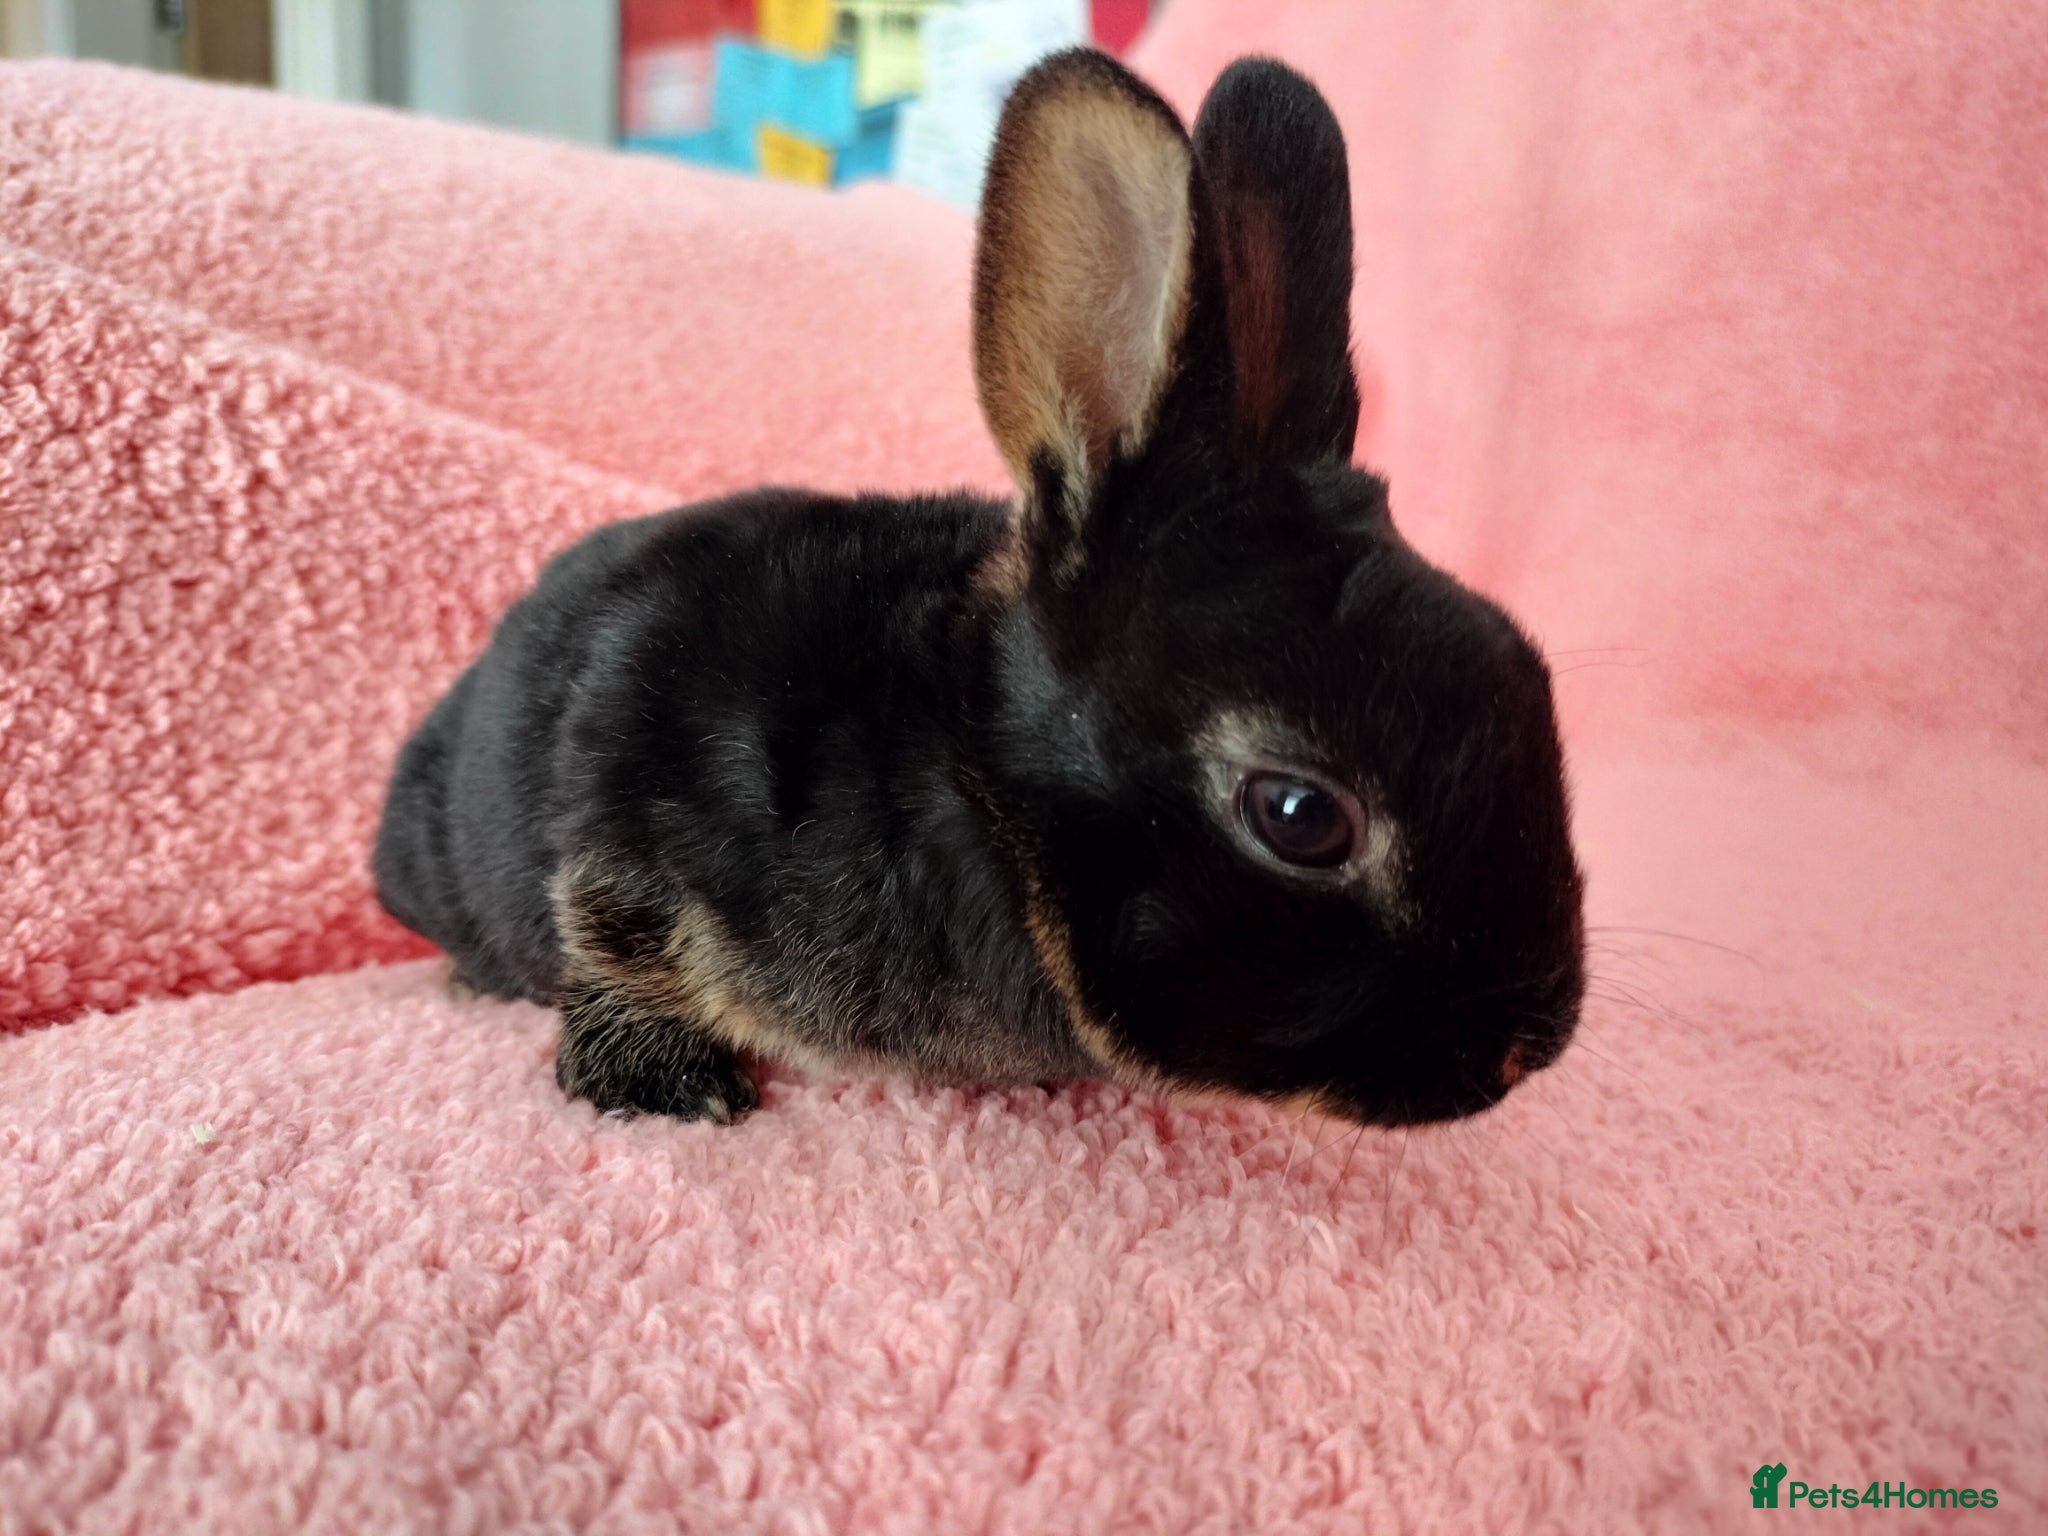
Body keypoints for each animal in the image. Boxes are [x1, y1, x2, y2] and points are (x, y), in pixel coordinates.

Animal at [373, 48, 1586, 1127]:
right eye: (1298, 816)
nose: (1530, 1047)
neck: (966, 775)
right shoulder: (628, 806)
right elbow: (611, 933)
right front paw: (659, 1087)